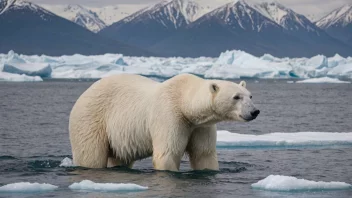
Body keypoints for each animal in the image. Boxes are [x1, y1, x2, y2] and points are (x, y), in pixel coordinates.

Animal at [68, 73, 258, 171]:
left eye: (250, 96)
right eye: (236, 97)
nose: (254, 111)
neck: (183, 101)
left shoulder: (201, 126)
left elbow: (204, 154)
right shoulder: (170, 116)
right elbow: (168, 153)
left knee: (120, 157)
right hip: (91, 118)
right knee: (90, 155)